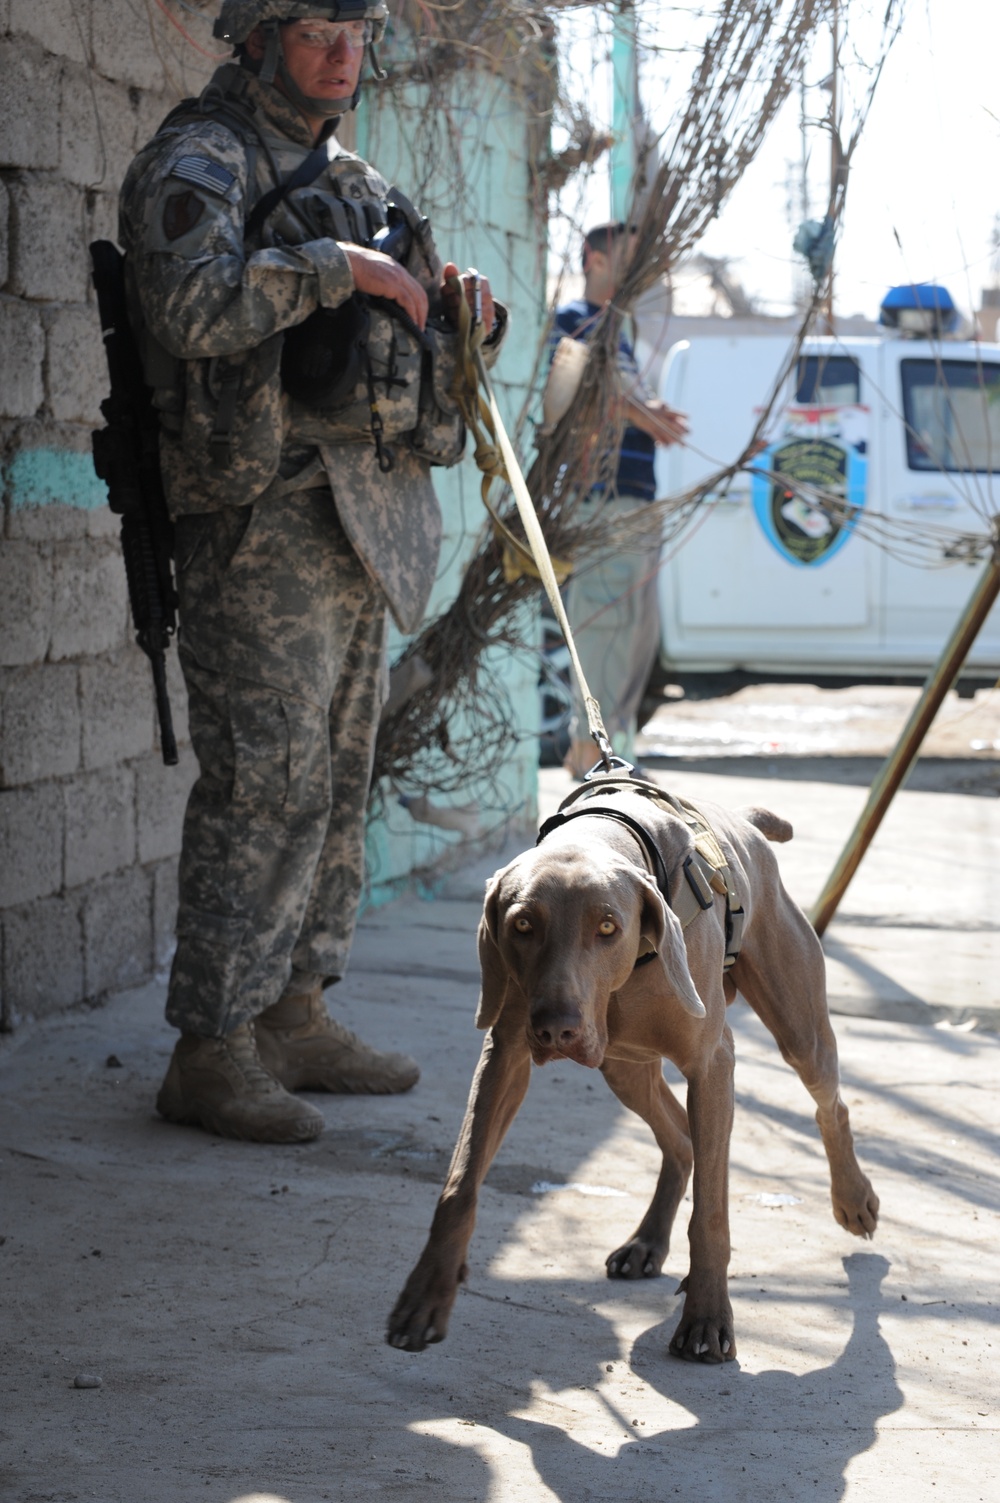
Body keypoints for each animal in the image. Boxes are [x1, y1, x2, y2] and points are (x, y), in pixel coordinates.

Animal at [384, 775, 878, 1364]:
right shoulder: (504, 1053)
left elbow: (711, 1212)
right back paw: (647, 1241)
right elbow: (460, 1182)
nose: (556, 1030)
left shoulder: (712, 1064)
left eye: (607, 927)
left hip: (798, 1027)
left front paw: (707, 1318)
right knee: (680, 1139)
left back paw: (853, 1198)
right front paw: (425, 1296)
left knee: (830, 1103)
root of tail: (747, 823)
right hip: (622, 1066)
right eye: (523, 924)